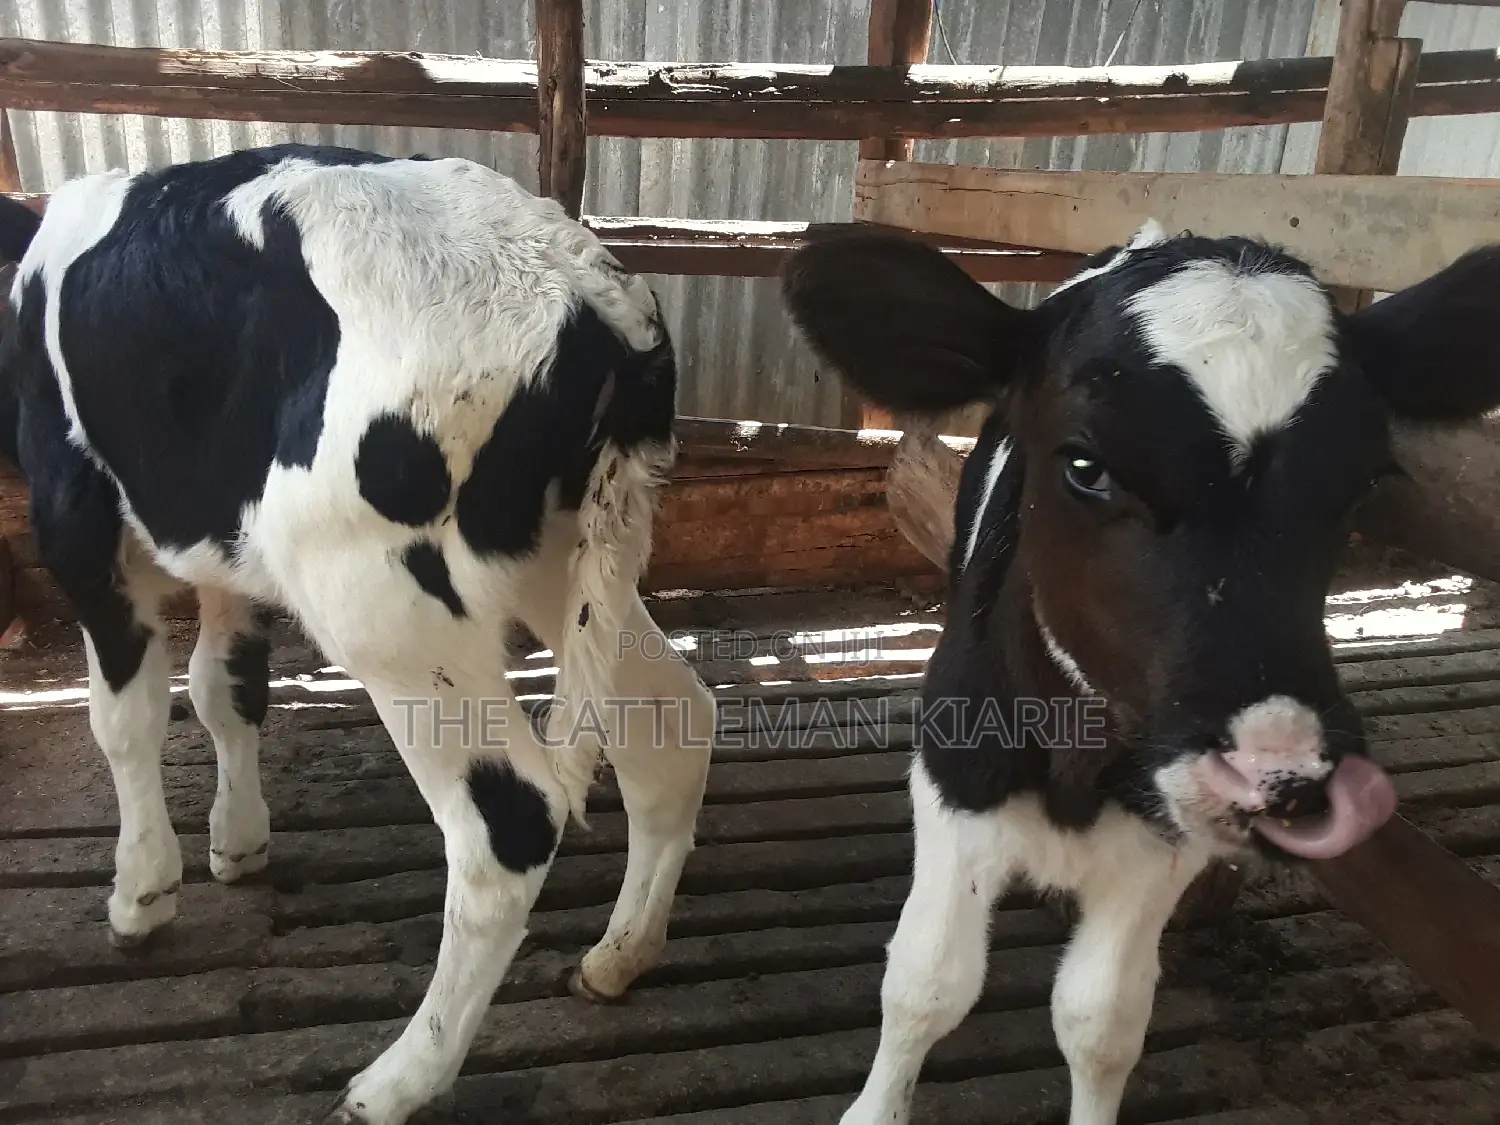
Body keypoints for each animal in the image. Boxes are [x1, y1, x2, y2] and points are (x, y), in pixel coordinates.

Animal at [0, 144, 716, 1125]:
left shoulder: (76, 511)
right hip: (564, 552)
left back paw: (396, 1079)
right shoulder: (221, 531)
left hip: (378, 596)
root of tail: (588, 290)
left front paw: (142, 890)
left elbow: (127, 717)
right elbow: (227, 684)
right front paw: (238, 840)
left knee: (512, 821)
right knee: (670, 723)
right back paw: (618, 955)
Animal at [778, 221, 1500, 1125]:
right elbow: (926, 982)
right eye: (1085, 466)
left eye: (1364, 480)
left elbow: (1102, 1018)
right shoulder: (953, 779)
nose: (1282, 776)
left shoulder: (1164, 834)